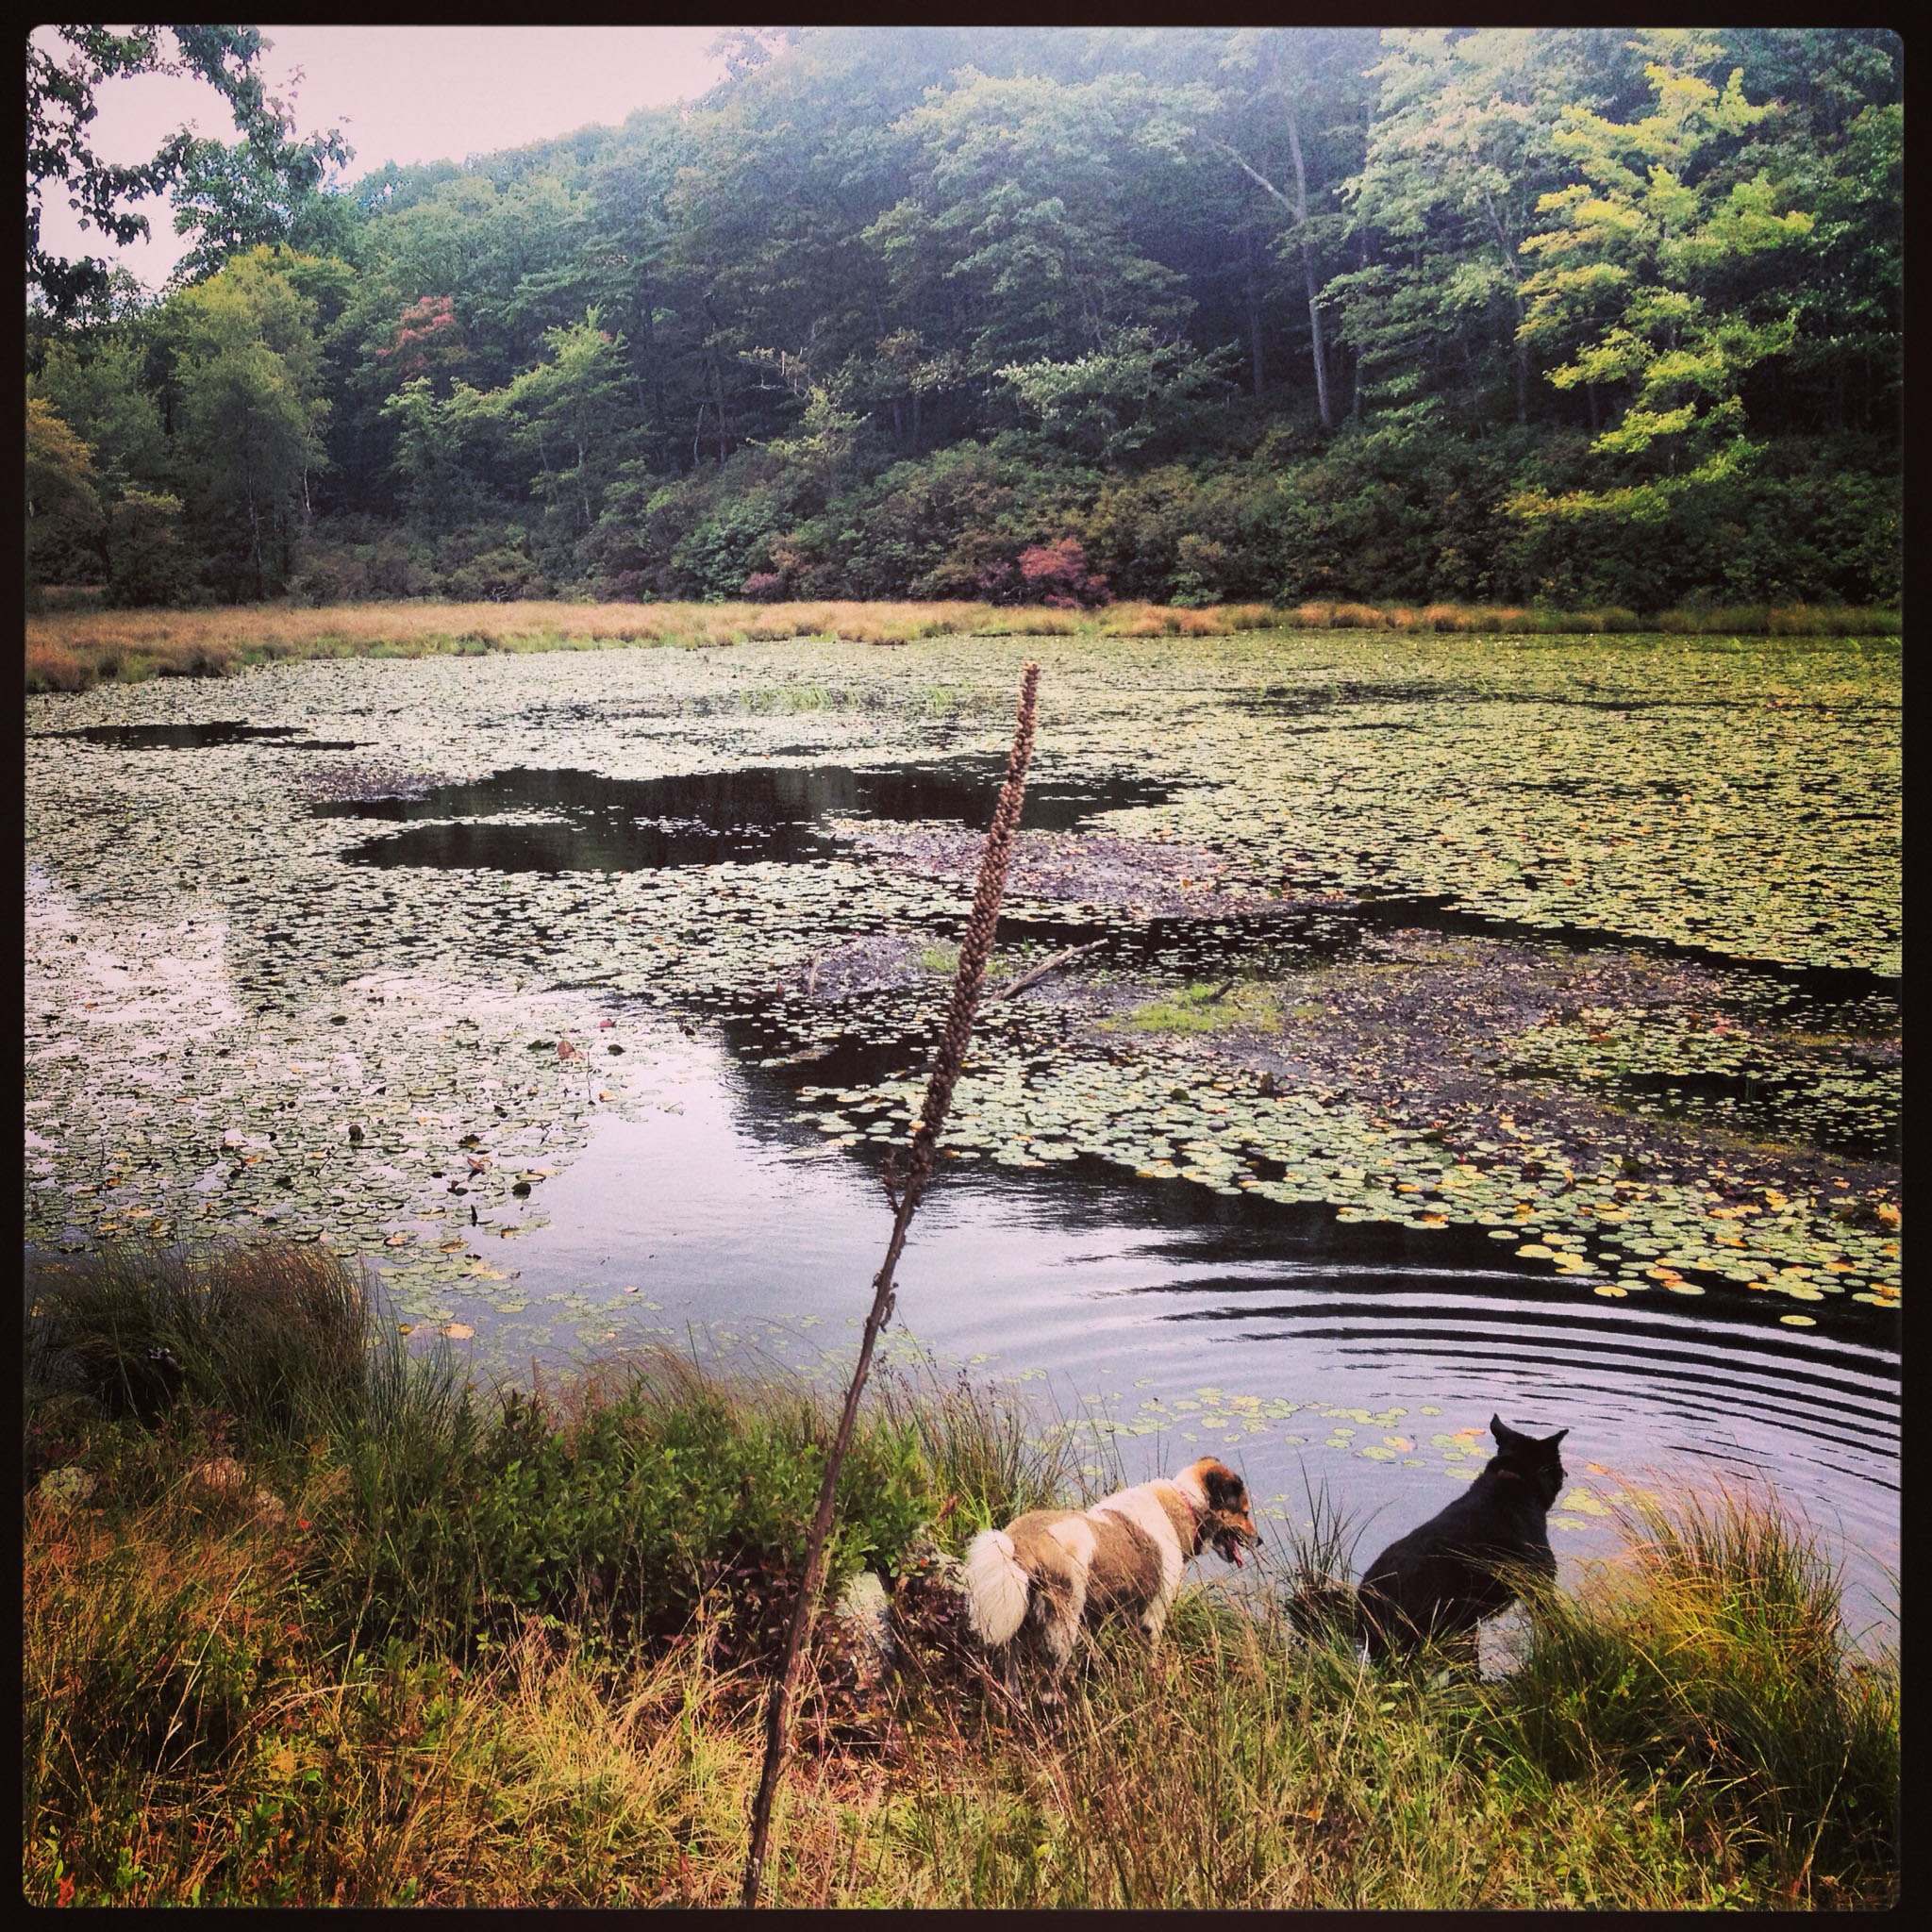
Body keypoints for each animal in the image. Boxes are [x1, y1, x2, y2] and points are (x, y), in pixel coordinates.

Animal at [961, 1460, 1259, 1692]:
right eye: (1245, 1512)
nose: (1260, 1541)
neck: (1184, 1505)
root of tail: (1017, 1546)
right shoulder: (1154, 1613)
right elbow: (1151, 1654)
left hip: (1019, 1633)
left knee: (1013, 1685)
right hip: (1062, 1630)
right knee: (1047, 1689)